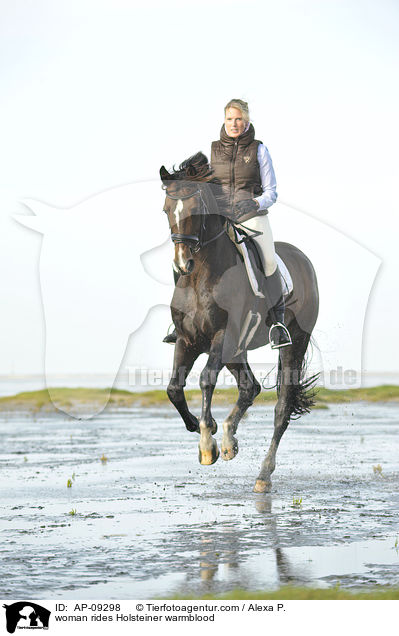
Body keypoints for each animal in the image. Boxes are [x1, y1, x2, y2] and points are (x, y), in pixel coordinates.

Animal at [161, 153, 320, 492]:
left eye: (196, 211)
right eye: (167, 209)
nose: (183, 263)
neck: (200, 277)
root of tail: (302, 259)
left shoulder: (224, 336)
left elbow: (206, 379)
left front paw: (207, 444)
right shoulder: (187, 340)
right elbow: (174, 388)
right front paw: (203, 427)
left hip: (292, 343)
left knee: (281, 408)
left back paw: (262, 475)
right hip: (238, 350)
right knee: (250, 387)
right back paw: (229, 439)